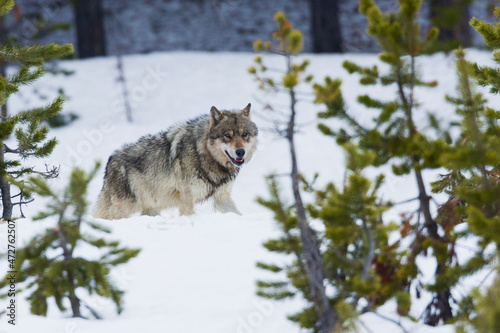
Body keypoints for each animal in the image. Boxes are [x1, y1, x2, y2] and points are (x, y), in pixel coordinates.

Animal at [93, 102, 258, 219]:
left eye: (244, 134)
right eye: (227, 136)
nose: (240, 151)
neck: (203, 154)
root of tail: (110, 160)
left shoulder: (222, 198)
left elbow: (238, 214)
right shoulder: (187, 201)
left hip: (151, 209)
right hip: (126, 209)